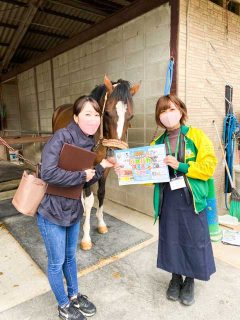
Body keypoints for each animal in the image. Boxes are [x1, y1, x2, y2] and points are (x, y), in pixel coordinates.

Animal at [51, 75, 140, 250]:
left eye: (131, 116)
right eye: (107, 113)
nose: (115, 152)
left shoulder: (104, 168)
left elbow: (101, 193)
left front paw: (101, 223)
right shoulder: (87, 167)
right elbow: (89, 199)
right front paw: (86, 238)